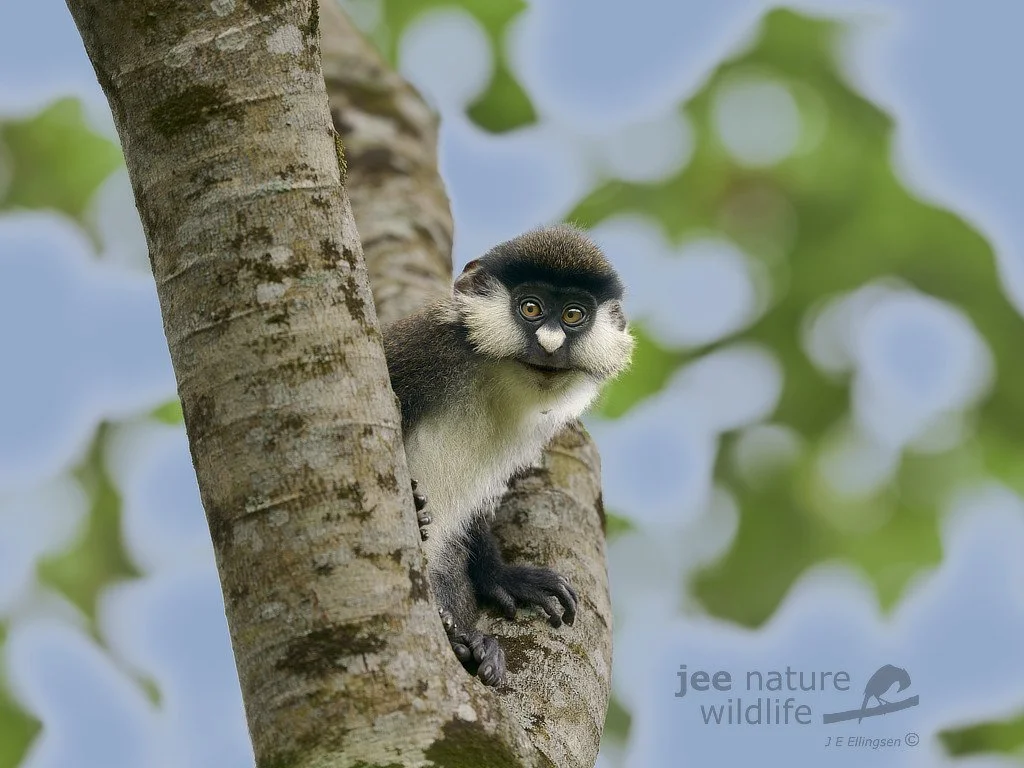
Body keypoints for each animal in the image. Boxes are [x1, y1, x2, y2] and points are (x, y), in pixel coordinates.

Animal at [381, 224, 634, 686]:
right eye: (530, 307)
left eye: (573, 315)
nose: (550, 344)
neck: (492, 375)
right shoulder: (421, 348)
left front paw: (502, 576)